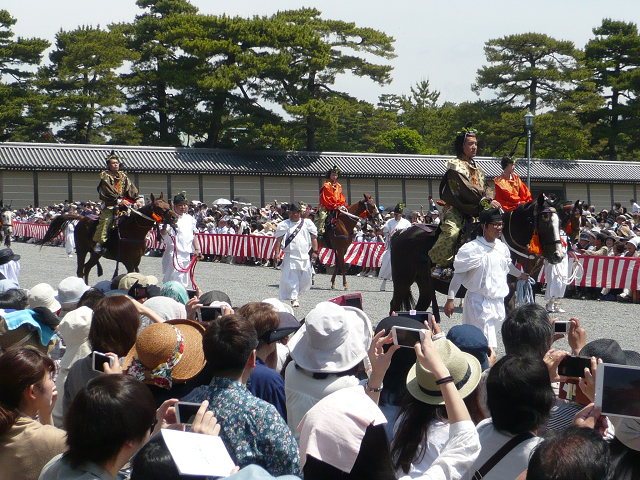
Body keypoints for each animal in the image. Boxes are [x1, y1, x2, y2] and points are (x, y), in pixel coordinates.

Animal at [39, 193, 175, 284]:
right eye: (158, 207)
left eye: (167, 204)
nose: (174, 217)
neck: (133, 231)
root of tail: (82, 218)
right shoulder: (128, 260)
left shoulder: (137, 260)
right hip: (82, 249)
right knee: (80, 270)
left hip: (95, 253)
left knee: (87, 268)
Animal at [390, 193, 564, 320]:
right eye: (545, 219)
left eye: (560, 221)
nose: (558, 255)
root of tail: (401, 233)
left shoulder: (509, 293)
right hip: (402, 281)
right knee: (394, 306)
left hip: (425, 285)